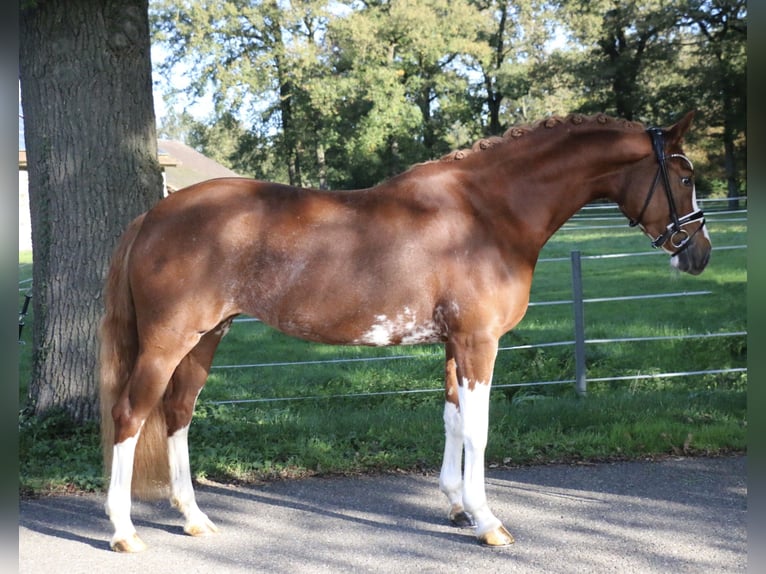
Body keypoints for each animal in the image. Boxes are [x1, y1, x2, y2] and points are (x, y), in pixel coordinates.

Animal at [99, 113, 712, 552]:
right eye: (684, 177)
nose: (700, 254)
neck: (488, 214)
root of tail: (153, 216)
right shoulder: (479, 344)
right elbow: (479, 431)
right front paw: (487, 521)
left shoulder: (454, 346)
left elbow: (452, 420)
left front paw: (457, 506)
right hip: (167, 342)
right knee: (131, 415)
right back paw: (125, 531)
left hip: (207, 337)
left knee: (178, 412)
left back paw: (195, 518)